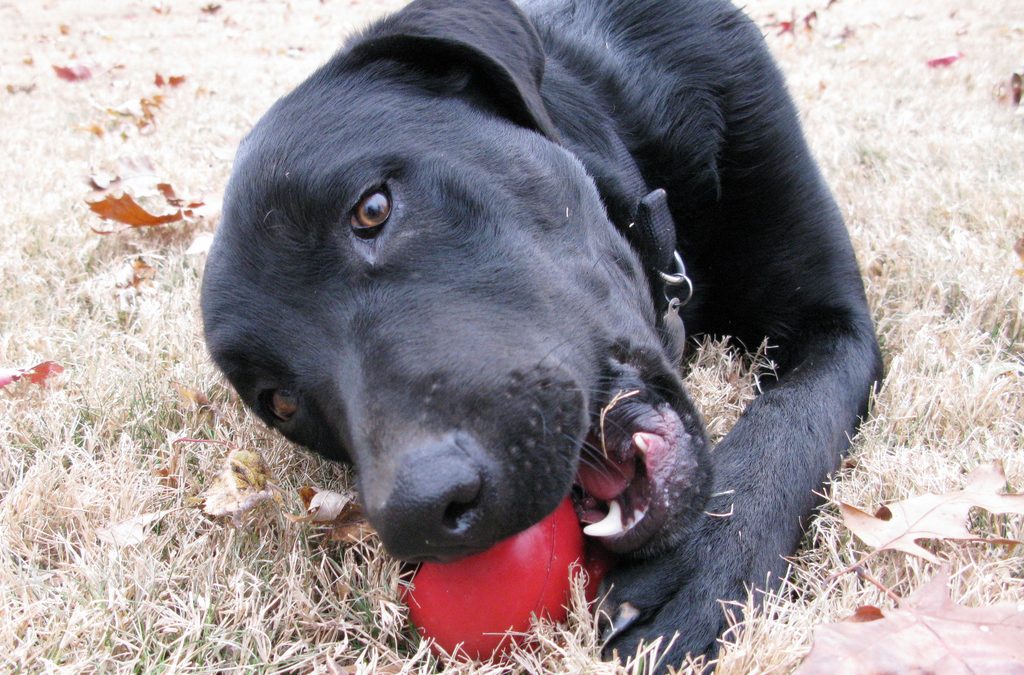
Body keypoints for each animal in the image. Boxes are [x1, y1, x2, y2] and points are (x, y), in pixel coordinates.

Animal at [199, 0, 880, 667]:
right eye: (280, 402)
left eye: (372, 208)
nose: (420, 516)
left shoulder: (838, 321)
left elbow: (788, 422)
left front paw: (703, 566)